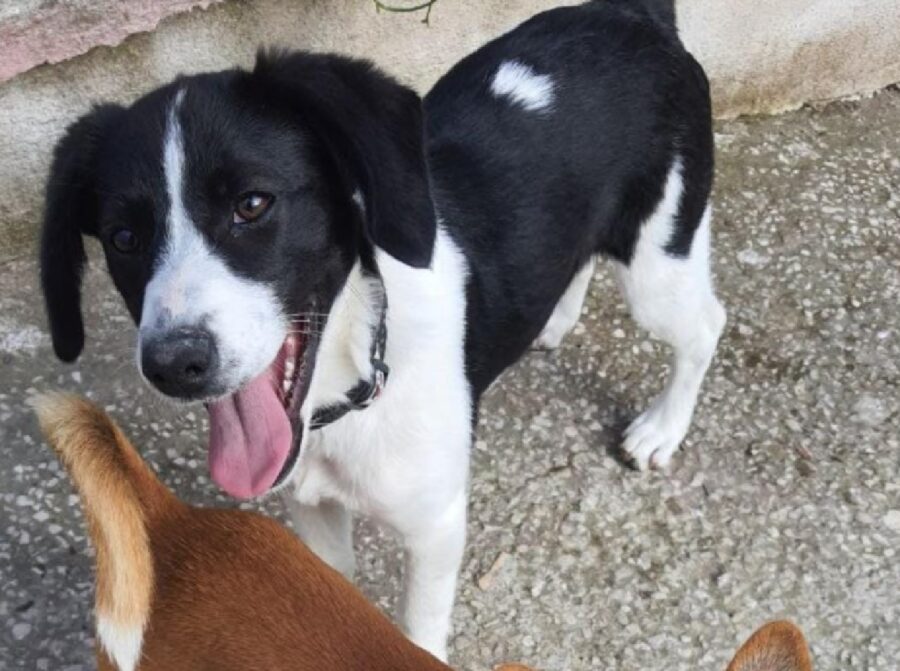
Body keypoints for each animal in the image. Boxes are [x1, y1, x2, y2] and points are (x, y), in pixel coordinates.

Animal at [40, 0, 724, 660]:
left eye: (252, 204)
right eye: (124, 238)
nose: (175, 364)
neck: (355, 379)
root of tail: (634, 14)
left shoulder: (436, 527)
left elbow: (417, 632)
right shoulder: (312, 513)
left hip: (658, 264)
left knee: (704, 325)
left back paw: (662, 428)